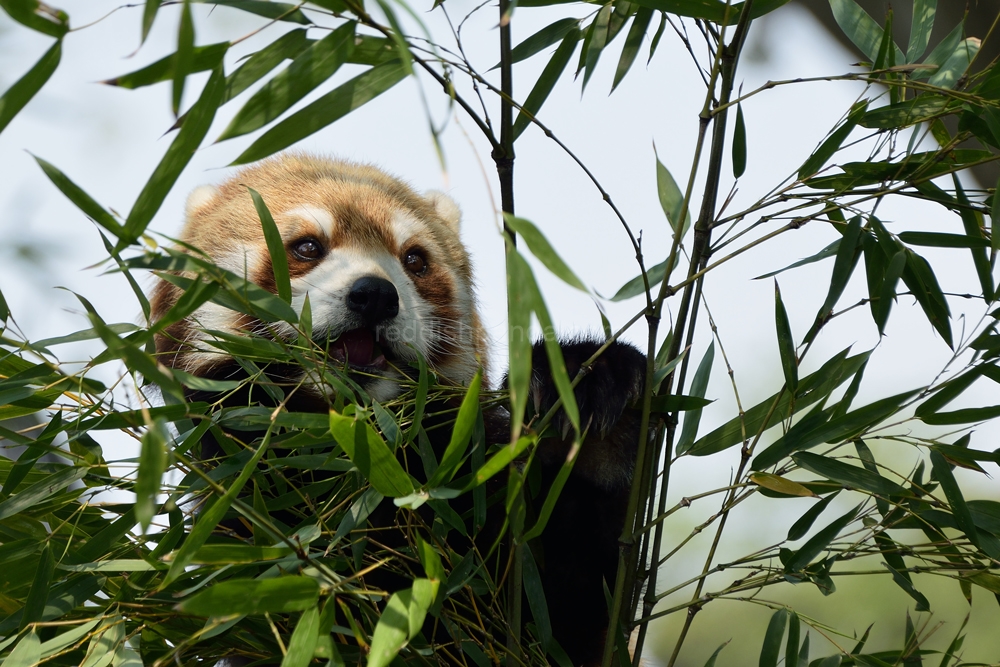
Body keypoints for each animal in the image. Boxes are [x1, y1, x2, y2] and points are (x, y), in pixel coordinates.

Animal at [149, 153, 648, 667]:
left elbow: (571, 604)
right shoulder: (246, 528)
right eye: (307, 246)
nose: (374, 293)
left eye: (415, 259)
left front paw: (585, 395)